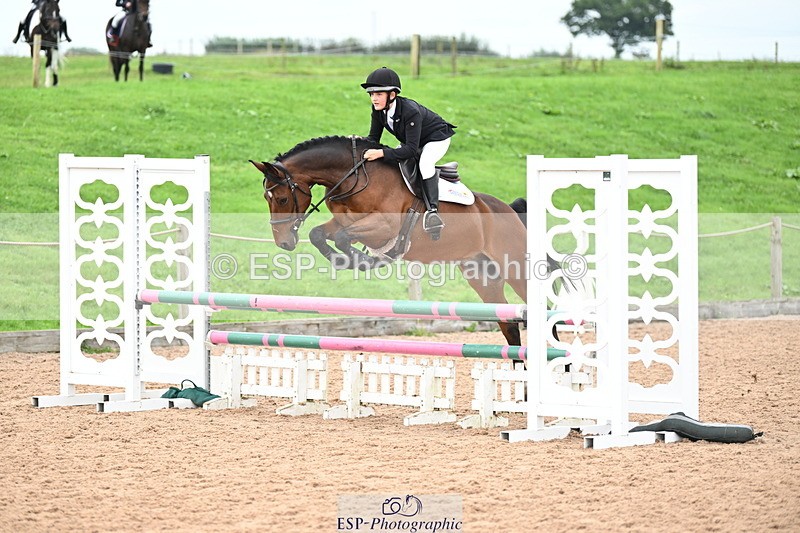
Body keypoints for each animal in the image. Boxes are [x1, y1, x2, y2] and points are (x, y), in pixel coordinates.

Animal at [251, 135, 536, 346]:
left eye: (282, 199)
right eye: (266, 198)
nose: (284, 243)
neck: (354, 176)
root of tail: (509, 209)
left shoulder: (384, 226)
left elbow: (343, 238)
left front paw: (364, 260)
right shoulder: (343, 222)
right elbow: (320, 234)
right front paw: (347, 260)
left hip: (516, 268)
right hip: (482, 274)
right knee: (508, 324)